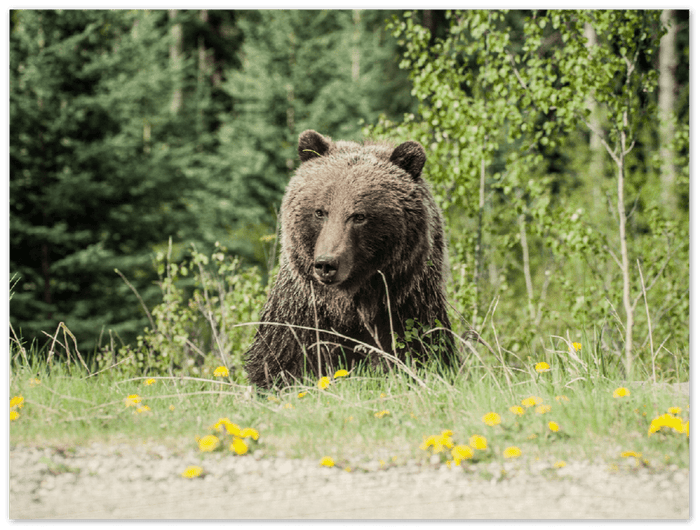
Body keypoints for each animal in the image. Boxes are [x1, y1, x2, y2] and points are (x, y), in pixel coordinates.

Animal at [244, 129, 457, 388]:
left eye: (359, 216)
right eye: (320, 212)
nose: (326, 264)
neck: (349, 305)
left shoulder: (406, 309)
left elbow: (419, 354)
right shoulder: (301, 316)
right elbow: (281, 364)